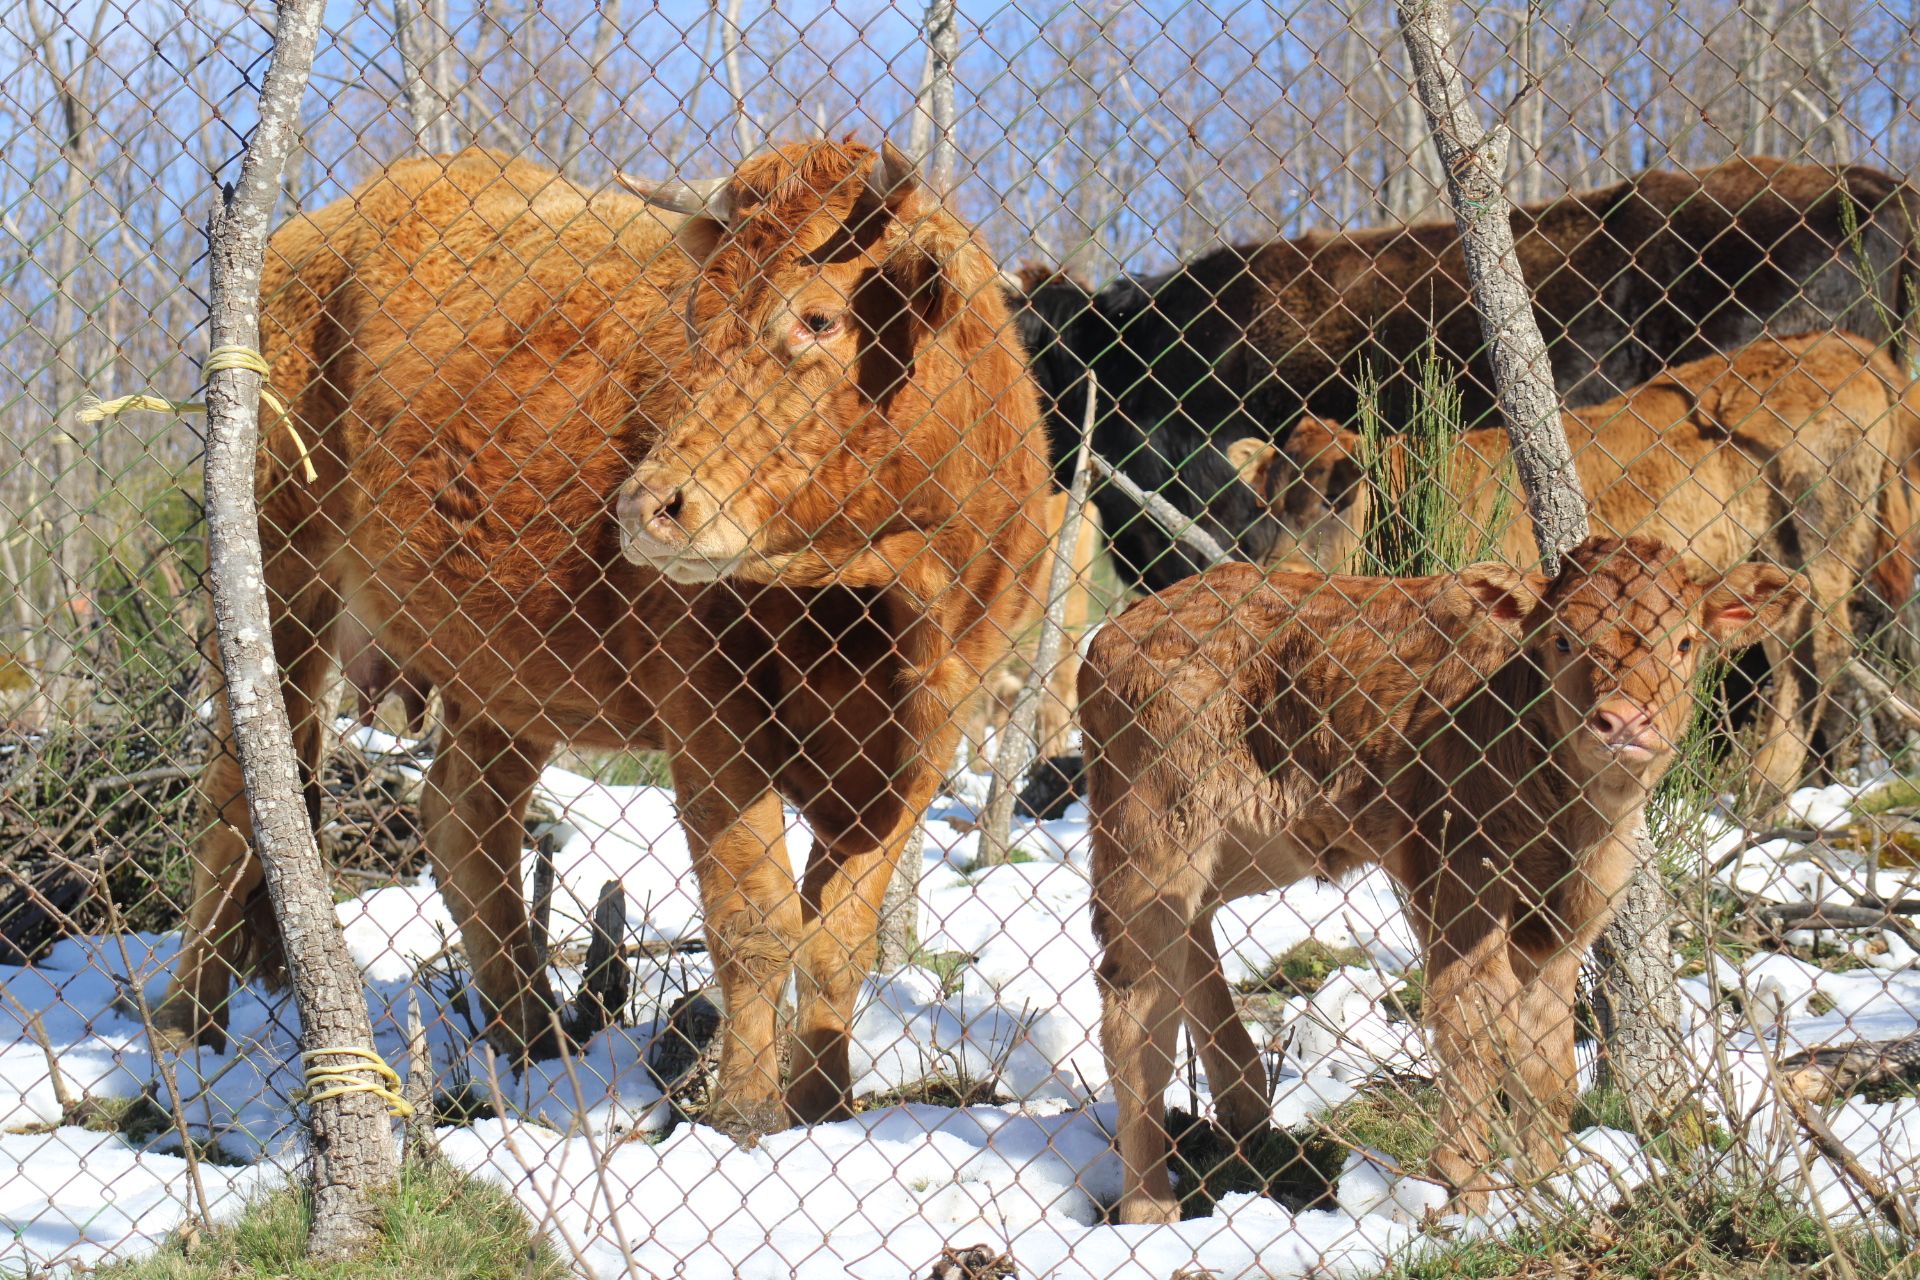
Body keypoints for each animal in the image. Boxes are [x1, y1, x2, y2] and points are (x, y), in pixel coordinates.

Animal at [157, 144, 1059, 1136]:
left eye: (819, 317)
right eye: (697, 321)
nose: (648, 504)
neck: (883, 600)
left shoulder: (930, 733)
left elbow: (839, 939)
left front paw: (824, 1108)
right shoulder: (709, 710)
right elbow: (756, 922)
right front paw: (746, 1112)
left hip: (501, 663)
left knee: (466, 819)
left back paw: (530, 1033)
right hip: (276, 581)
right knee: (239, 803)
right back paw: (187, 1026)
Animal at [1082, 537, 1797, 1220]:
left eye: (1684, 641)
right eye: (1563, 638)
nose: (1622, 721)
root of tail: (1118, 629)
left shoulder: (1569, 921)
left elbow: (1547, 1055)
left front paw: (1546, 1186)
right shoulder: (1459, 887)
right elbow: (1474, 1021)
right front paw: (1462, 1192)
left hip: (1247, 842)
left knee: (1187, 943)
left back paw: (1247, 1118)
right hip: (1154, 830)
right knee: (1135, 1001)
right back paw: (1152, 1207)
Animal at [1228, 335, 1920, 805]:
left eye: (1338, 498)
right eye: (1268, 499)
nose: (1275, 564)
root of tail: (1846, 346)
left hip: (1822, 534)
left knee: (1817, 654)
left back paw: (1766, 794)